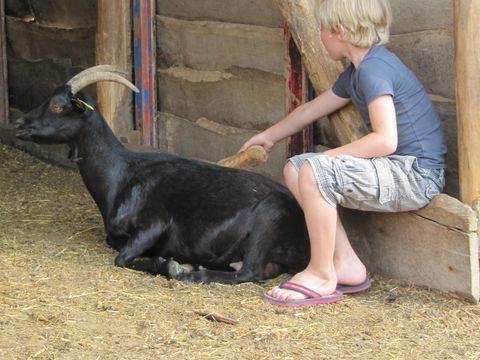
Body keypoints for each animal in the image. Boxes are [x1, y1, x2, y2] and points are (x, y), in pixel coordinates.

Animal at [15, 65, 310, 284]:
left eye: (56, 106)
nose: (19, 124)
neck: (120, 177)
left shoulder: (154, 223)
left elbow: (121, 259)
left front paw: (171, 265)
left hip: (268, 218)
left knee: (250, 272)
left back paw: (192, 274)